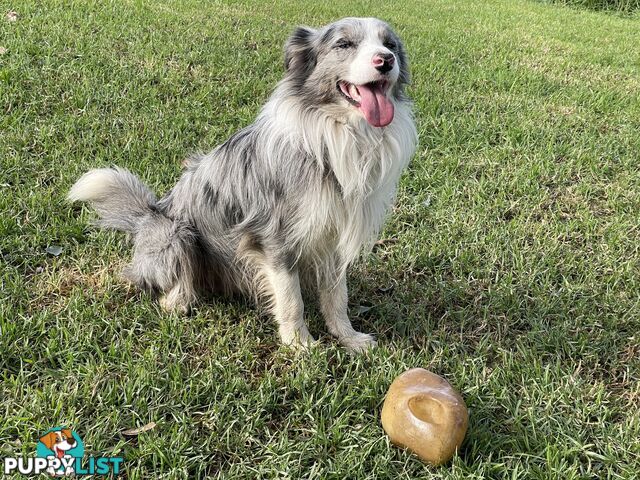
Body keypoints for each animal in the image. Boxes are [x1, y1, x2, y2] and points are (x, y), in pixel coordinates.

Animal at [70, 16, 418, 352]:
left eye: (390, 44)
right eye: (344, 44)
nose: (385, 60)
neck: (336, 135)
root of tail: (145, 217)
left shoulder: (332, 236)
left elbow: (337, 295)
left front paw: (348, 338)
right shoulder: (275, 238)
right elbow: (291, 300)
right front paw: (300, 346)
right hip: (176, 233)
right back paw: (179, 301)